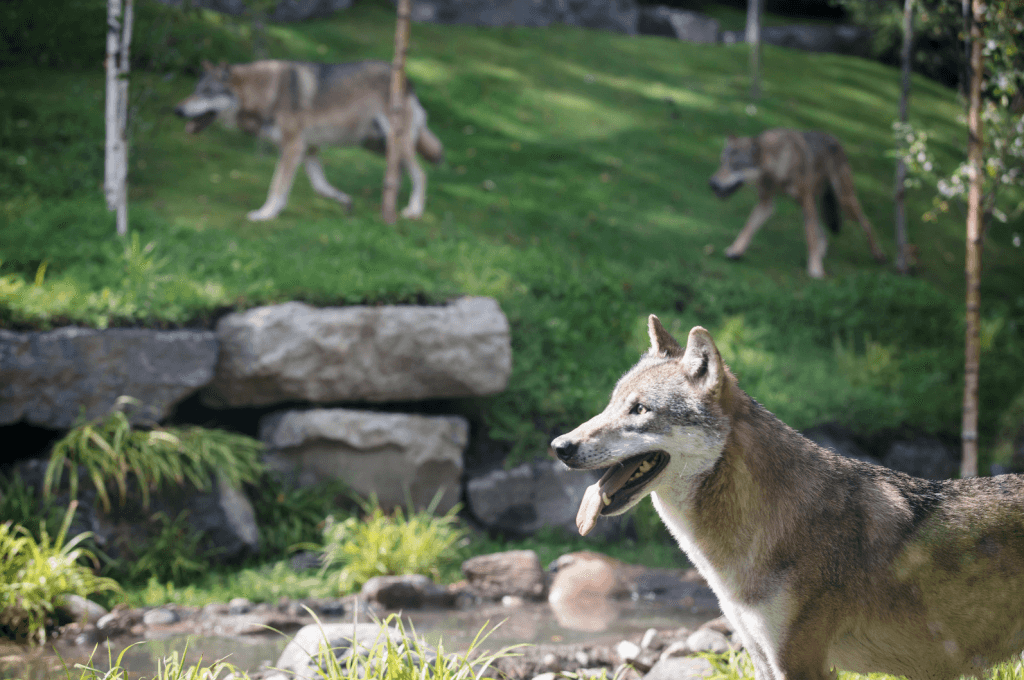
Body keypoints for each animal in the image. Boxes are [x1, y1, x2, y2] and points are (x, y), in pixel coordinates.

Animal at [175, 59, 444, 221]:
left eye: (206, 92)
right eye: (195, 90)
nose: (177, 110)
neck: (266, 94)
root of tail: (407, 80)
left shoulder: (292, 148)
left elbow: (276, 187)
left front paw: (265, 214)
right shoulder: (309, 149)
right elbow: (320, 186)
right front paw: (344, 201)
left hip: (397, 143)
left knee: (421, 174)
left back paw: (413, 210)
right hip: (378, 146)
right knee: (401, 171)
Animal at [709, 129, 887, 279]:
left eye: (735, 166)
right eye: (721, 163)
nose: (712, 183)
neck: (778, 165)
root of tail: (835, 138)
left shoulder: (806, 201)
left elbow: (810, 237)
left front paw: (815, 269)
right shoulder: (766, 204)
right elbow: (748, 228)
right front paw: (735, 251)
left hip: (844, 202)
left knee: (866, 223)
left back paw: (878, 254)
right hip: (808, 206)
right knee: (822, 232)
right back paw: (821, 253)